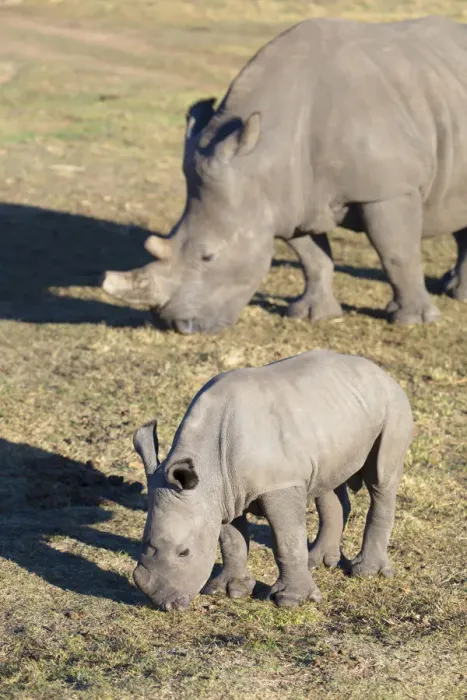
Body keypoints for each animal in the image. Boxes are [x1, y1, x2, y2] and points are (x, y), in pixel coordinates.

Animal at [101, 16, 467, 333]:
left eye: (208, 256)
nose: (177, 326)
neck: (263, 155)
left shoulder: (388, 189)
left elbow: (397, 254)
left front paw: (413, 322)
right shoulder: (289, 198)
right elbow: (312, 257)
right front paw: (312, 315)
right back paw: (455, 291)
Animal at [132, 350, 413, 611]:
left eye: (184, 552)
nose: (161, 602)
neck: (208, 464)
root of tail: (382, 372)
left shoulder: (279, 484)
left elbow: (287, 540)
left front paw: (290, 601)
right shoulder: (221, 493)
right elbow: (231, 540)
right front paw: (230, 591)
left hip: (393, 406)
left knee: (381, 480)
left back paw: (366, 572)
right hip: (338, 415)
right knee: (328, 484)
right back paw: (318, 562)